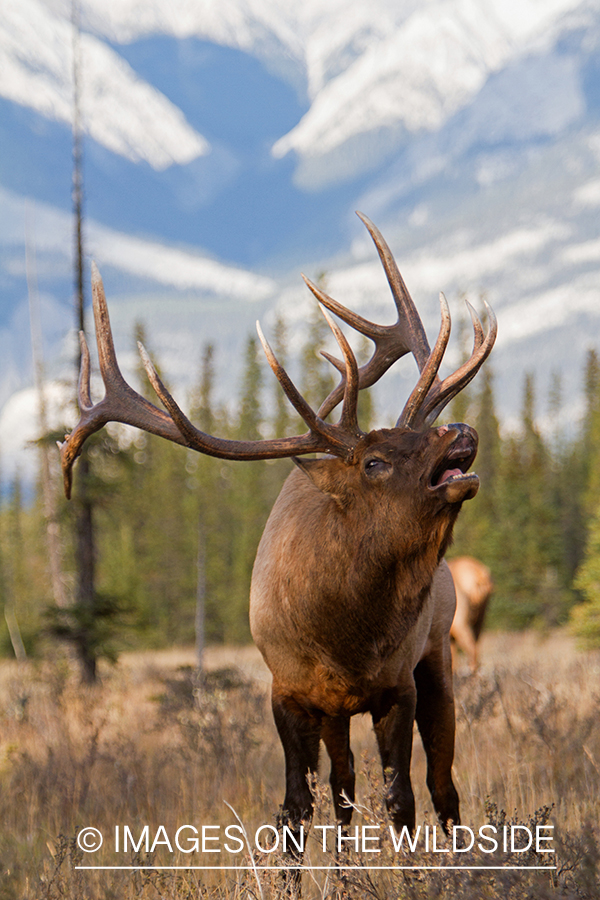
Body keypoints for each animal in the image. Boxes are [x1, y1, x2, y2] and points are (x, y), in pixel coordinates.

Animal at [59, 212, 496, 875]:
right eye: (374, 460)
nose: (461, 429)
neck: (344, 632)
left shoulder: (397, 683)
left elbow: (402, 799)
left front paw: (414, 876)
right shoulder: (287, 692)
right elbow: (295, 808)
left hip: (439, 654)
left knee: (442, 786)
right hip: (342, 710)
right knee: (343, 789)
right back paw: (343, 869)